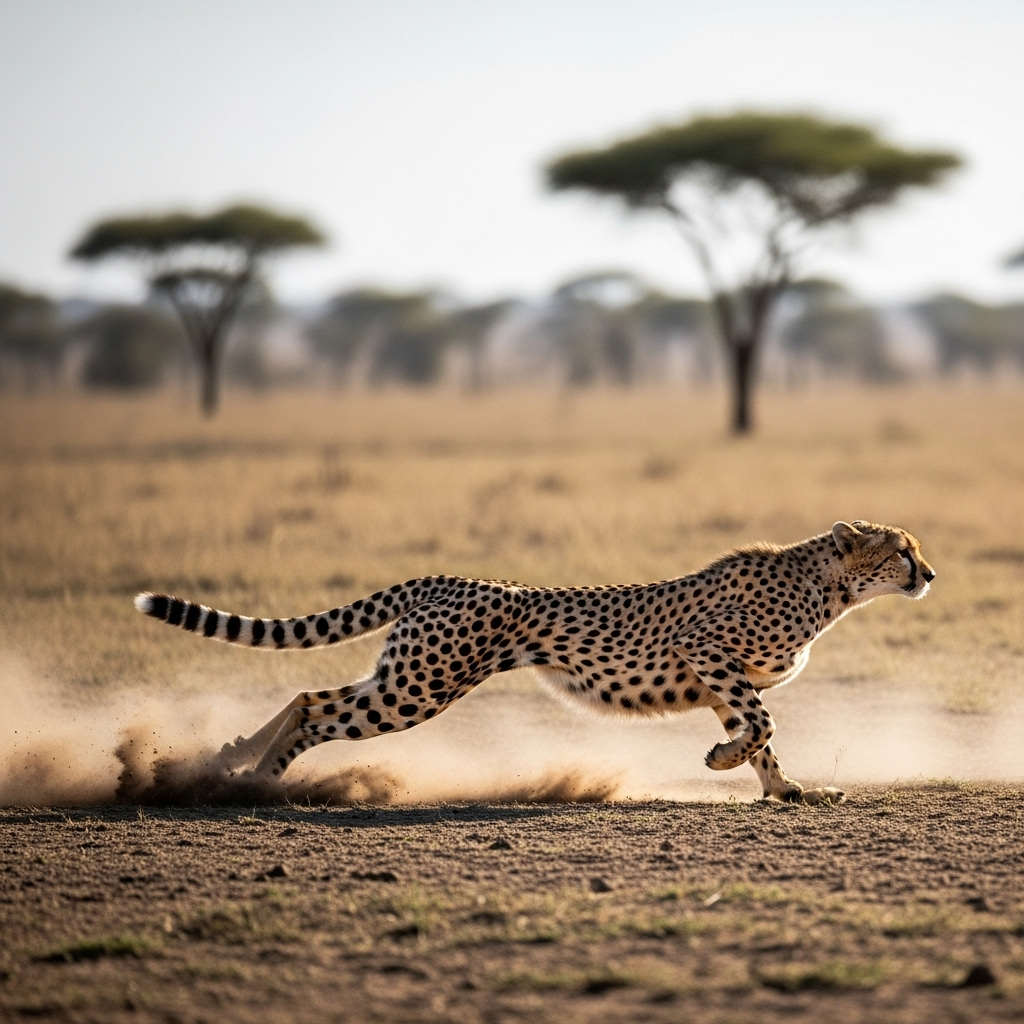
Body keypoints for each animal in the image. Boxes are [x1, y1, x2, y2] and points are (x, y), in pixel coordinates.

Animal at [135, 520, 934, 803]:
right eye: (902, 549)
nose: (929, 574)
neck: (829, 586)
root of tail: (449, 576)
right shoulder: (706, 652)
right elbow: (763, 720)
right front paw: (723, 762)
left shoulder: (713, 679)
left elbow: (764, 731)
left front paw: (784, 788)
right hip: (421, 686)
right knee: (317, 709)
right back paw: (259, 781)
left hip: (406, 674)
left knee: (309, 695)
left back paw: (234, 761)